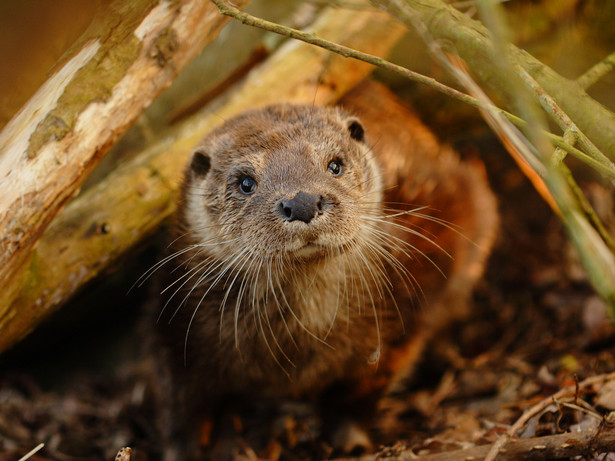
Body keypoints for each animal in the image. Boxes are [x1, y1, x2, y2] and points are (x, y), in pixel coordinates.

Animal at [152, 81, 498, 458]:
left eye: (334, 165)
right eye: (245, 182)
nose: (302, 201)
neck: (305, 338)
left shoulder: (403, 314)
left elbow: (365, 384)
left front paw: (349, 437)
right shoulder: (180, 326)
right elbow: (179, 401)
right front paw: (185, 448)